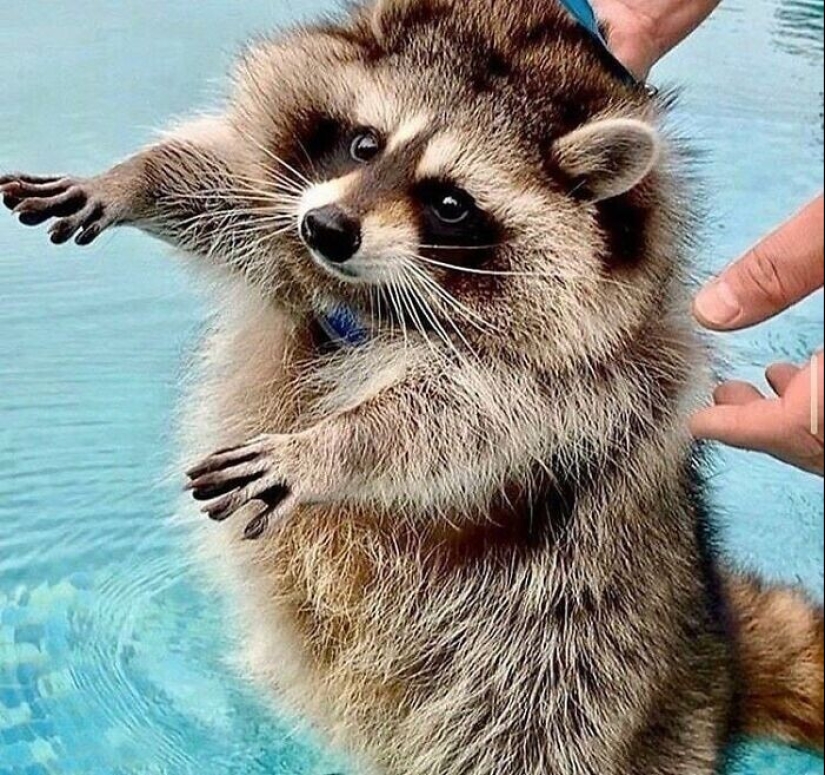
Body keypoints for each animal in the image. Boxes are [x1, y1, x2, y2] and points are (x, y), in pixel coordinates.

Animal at [3, 1, 823, 773]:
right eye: (366, 143)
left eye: (450, 202)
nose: (328, 228)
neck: (370, 296)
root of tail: (716, 670)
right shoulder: (294, 222)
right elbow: (234, 196)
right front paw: (134, 179)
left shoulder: (585, 378)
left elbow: (461, 422)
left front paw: (327, 449)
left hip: (564, 679)